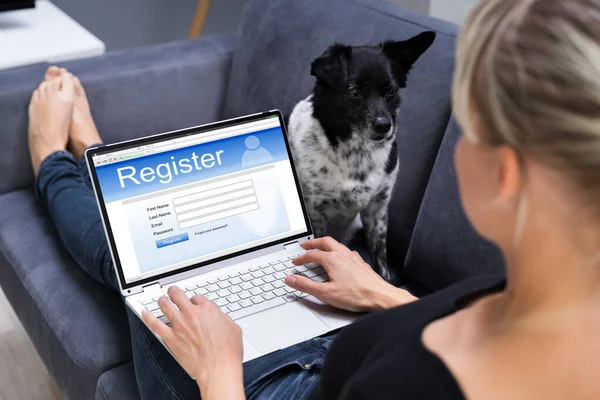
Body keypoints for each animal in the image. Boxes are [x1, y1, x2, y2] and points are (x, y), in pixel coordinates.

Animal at [288, 32, 434, 282]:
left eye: (391, 91)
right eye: (354, 92)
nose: (384, 125)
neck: (355, 152)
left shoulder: (377, 209)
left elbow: (380, 259)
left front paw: (383, 280)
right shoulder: (316, 212)